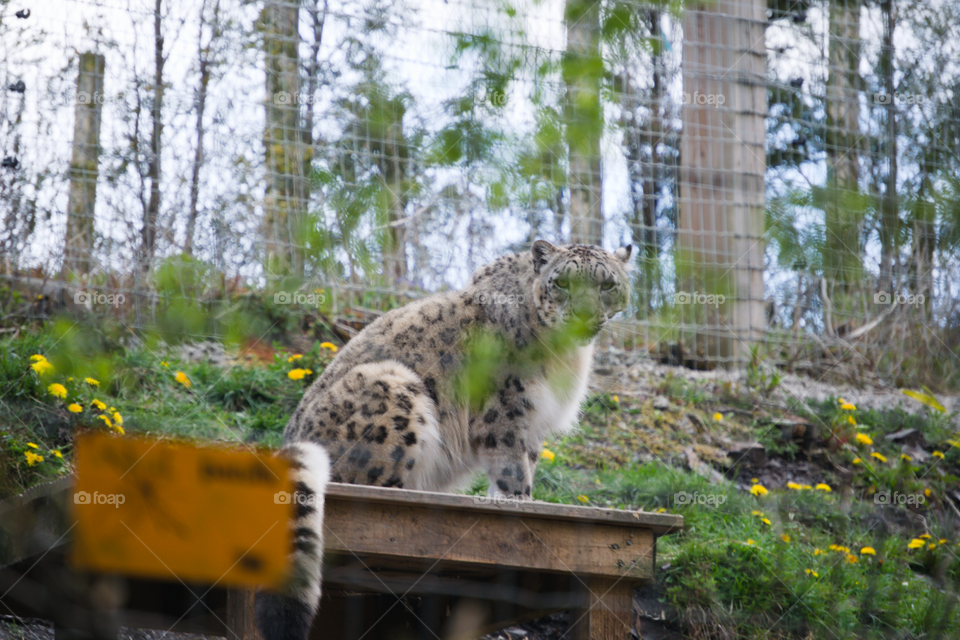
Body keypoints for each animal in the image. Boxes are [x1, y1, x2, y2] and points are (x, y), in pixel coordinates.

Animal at [255, 241, 633, 639]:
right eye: (562, 283)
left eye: (607, 285)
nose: (584, 315)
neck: (565, 355)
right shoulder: (506, 412)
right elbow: (512, 470)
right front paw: (521, 501)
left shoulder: (532, 425)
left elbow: (523, 465)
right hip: (396, 387)